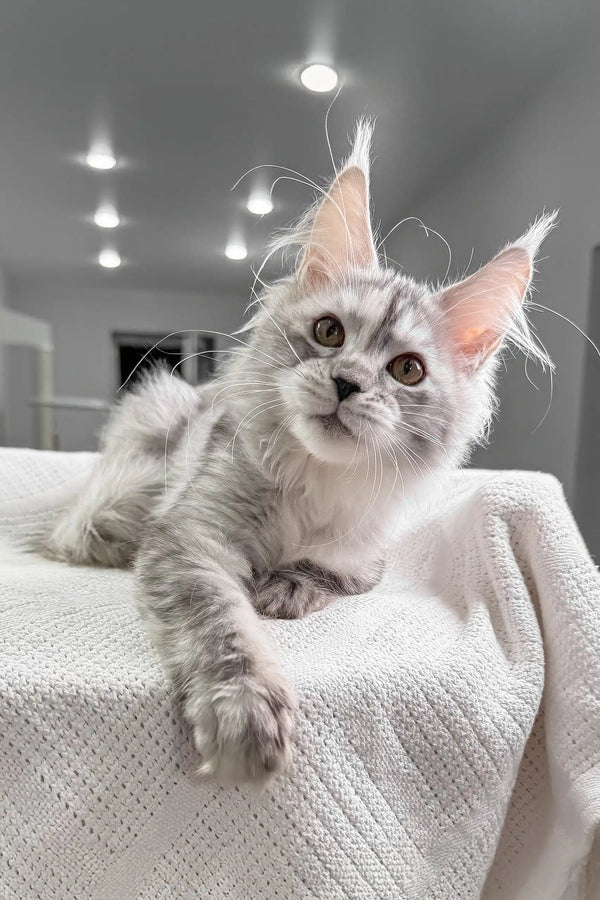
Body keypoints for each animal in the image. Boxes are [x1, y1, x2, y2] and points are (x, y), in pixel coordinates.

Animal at [44, 123, 556, 784]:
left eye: (407, 370)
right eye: (329, 332)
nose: (347, 384)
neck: (315, 478)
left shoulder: (368, 554)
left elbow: (328, 568)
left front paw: (285, 588)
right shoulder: (189, 538)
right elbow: (223, 624)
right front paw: (244, 710)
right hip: (130, 470)